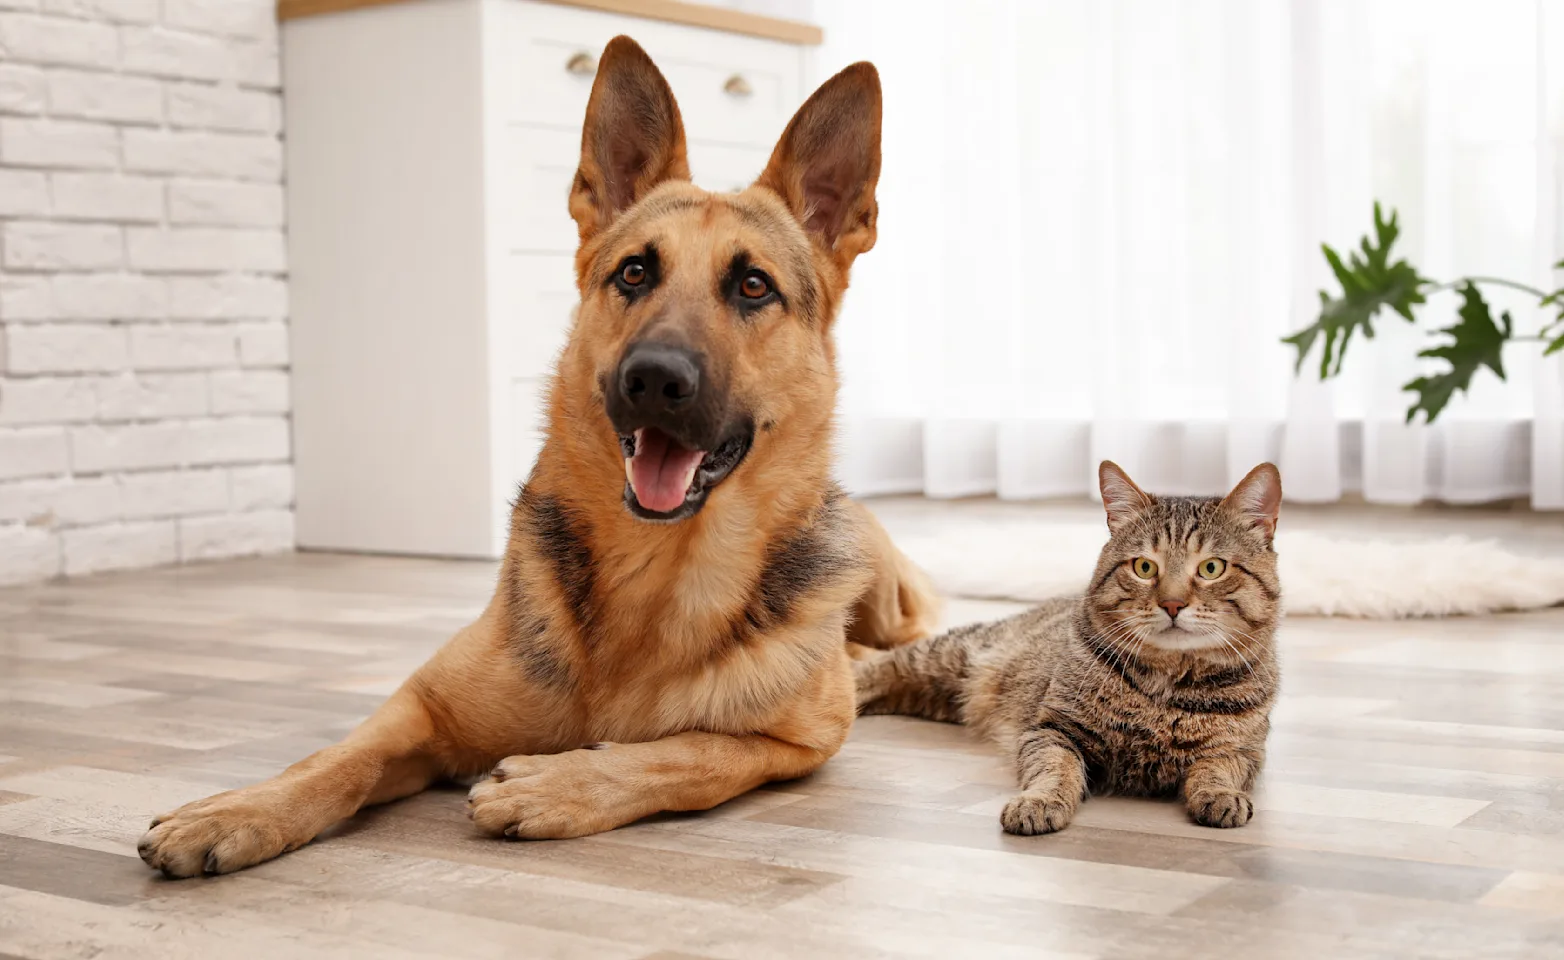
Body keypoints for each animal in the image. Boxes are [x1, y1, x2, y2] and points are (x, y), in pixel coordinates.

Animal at [134, 37, 932, 881]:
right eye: (635, 272)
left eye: (752, 286)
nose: (653, 380)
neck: (654, 573)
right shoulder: (423, 705)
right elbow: (334, 759)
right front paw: (241, 809)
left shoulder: (798, 743)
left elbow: (691, 753)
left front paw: (561, 782)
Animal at [857, 465, 1282, 838]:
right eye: (1144, 567)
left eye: (1211, 568)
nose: (1173, 604)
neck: (1166, 687)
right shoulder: (1053, 730)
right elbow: (1055, 770)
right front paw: (1039, 802)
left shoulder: (1242, 751)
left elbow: (1217, 770)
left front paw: (1221, 795)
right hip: (949, 656)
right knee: (878, 667)